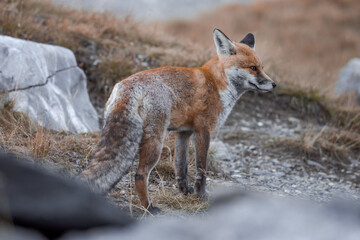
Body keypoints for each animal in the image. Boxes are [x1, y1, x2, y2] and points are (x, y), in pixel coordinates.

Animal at [81, 28, 276, 214]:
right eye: (252, 68)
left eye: (262, 67)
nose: (274, 84)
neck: (216, 84)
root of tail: (126, 86)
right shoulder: (203, 130)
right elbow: (201, 168)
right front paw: (201, 195)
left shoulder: (184, 132)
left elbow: (181, 166)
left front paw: (185, 191)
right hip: (156, 142)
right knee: (140, 175)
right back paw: (149, 207)